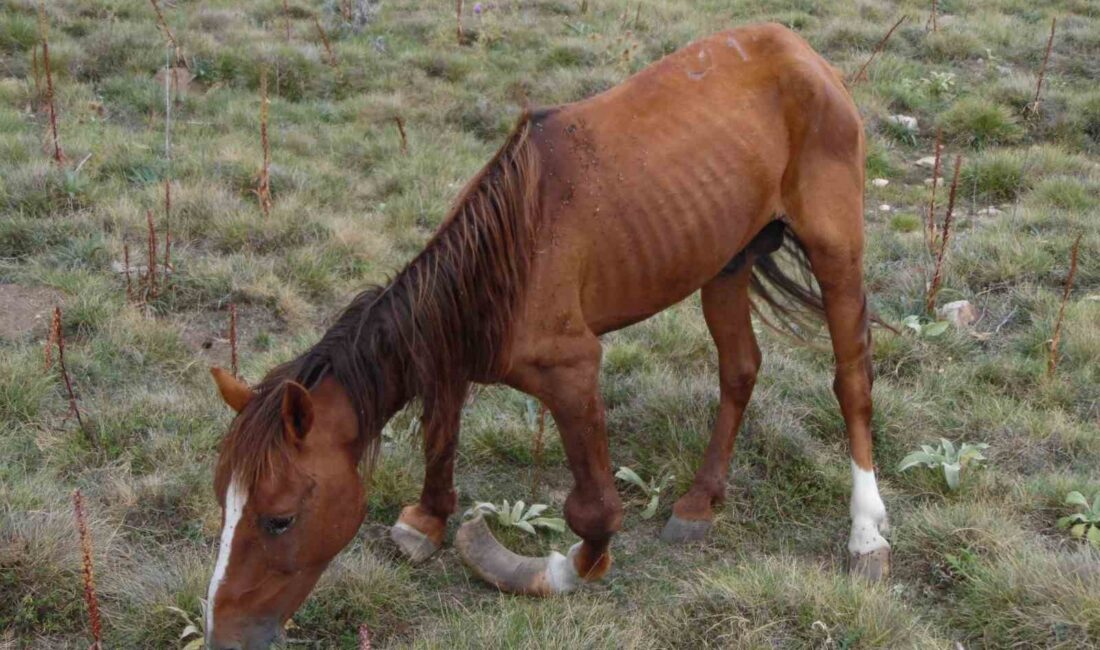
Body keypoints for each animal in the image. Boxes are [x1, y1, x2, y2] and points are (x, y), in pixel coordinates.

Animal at [206, 21, 893, 650]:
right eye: (223, 502)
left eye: (278, 519)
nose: (224, 637)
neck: (504, 260)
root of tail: (800, 50)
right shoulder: (450, 353)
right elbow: (439, 436)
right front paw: (427, 520)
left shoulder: (572, 372)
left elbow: (594, 512)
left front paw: (558, 570)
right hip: (725, 261)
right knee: (741, 370)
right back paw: (700, 501)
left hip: (836, 250)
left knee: (851, 380)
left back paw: (866, 533)